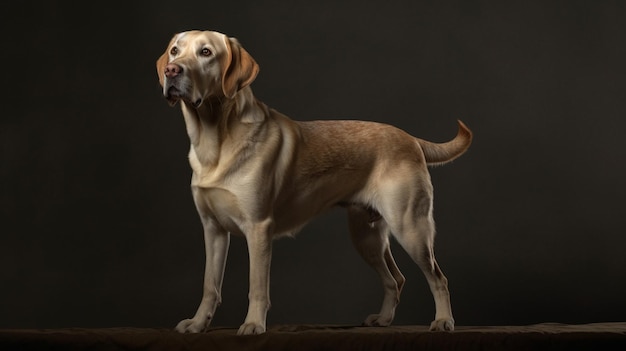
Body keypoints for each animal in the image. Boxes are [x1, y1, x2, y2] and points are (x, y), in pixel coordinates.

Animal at [155, 29, 468, 336]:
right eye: (174, 51)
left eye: (206, 52)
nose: (171, 70)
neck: (214, 140)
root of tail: (411, 138)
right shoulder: (213, 230)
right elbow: (210, 285)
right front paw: (197, 324)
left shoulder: (258, 228)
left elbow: (257, 286)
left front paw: (253, 324)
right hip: (367, 237)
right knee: (396, 278)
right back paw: (383, 318)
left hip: (411, 228)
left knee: (438, 278)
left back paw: (443, 321)